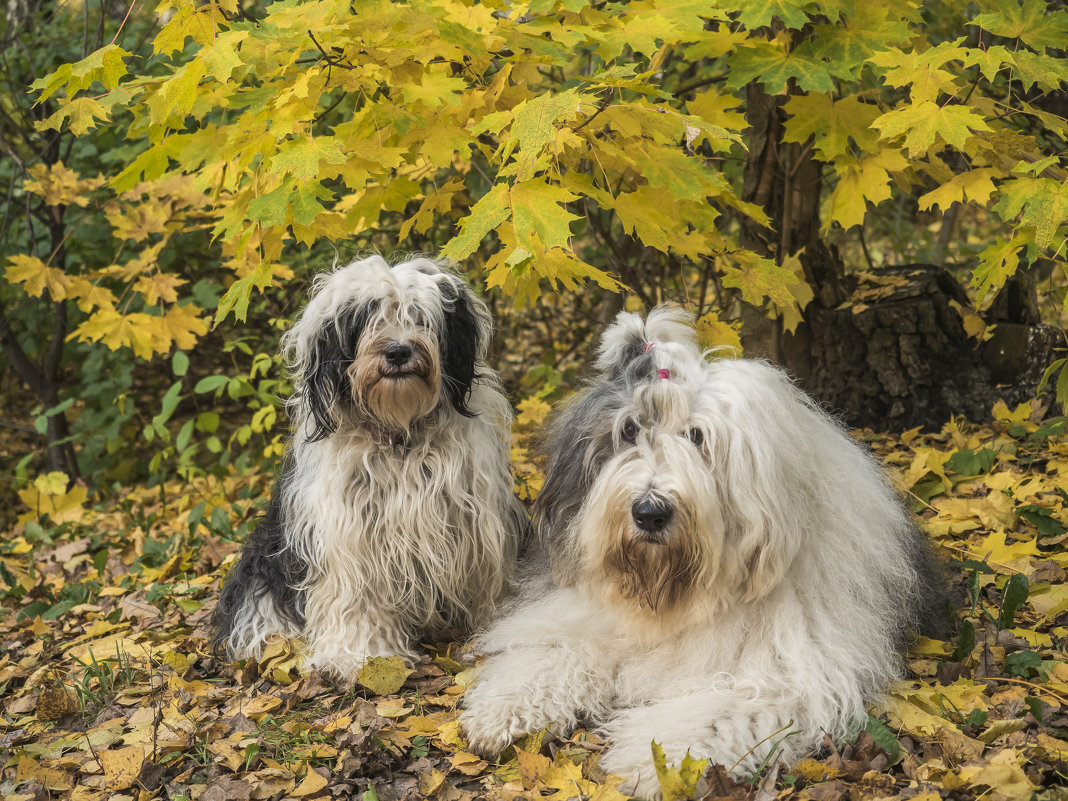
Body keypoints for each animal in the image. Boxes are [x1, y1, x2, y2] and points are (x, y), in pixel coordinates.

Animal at [215, 254, 529, 679]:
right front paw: (361, 657)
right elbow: (356, 599)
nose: (397, 352)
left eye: (419, 317)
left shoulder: (476, 523)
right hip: (266, 562)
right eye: (367, 319)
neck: (400, 435)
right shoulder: (348, 536)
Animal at [459, 305, 944, 798]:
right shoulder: (579, 618)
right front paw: (503, 712)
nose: (649, 512)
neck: (670, 593)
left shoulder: (784, 672)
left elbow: (715, 708)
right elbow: (554, 651)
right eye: (629, 430)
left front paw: (653, 763)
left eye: (697, 436)